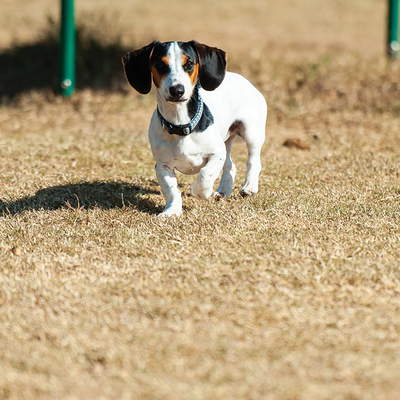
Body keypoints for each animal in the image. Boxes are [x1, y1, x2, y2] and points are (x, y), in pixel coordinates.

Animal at [120, 40, 268, 216]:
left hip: (252, 133)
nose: (177, 90)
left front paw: (199, 191)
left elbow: (205, 174)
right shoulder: (162, 165)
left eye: (189, 63)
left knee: (253, 161)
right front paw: (172, 211)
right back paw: (223, 190)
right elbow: (171, 190)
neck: (181, 126)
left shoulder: (216, 153)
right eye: (160, 65)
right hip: (226, 142)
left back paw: (249, 187)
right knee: (230, 166)